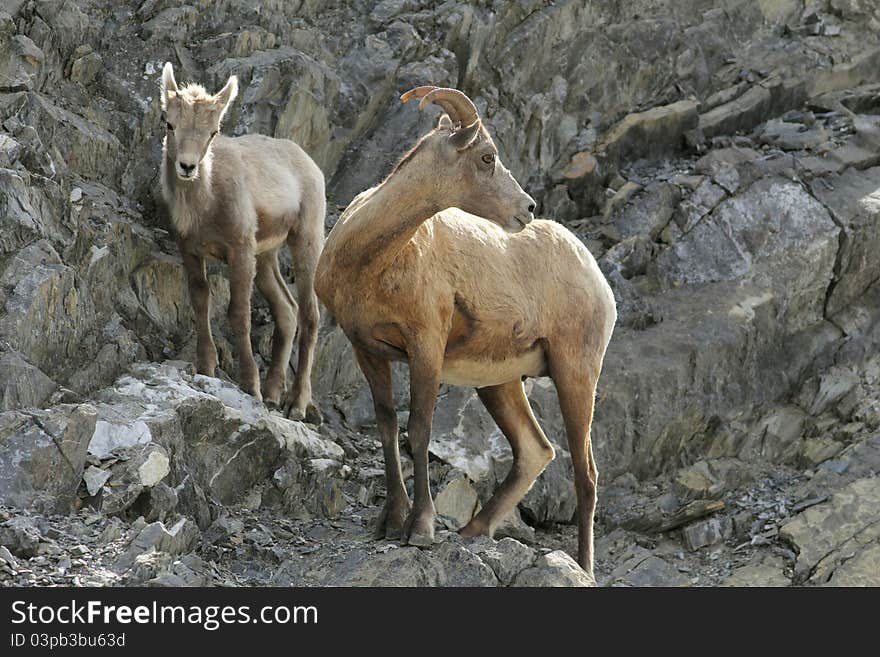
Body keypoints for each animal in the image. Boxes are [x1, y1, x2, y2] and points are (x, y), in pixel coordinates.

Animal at [160, 62, 324, 420]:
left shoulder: (240, 251)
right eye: (169, 123)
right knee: (287, 310)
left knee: (309, 314)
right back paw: (275, 394)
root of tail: (311, 165)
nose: (187, 167)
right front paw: (206, 366)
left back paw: (296, 404)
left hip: (305, 242)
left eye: (213, 132)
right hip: (266, 257)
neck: (206, 206)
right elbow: (201, 300)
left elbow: (238, 314)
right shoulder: (191, 251)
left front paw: (251, 386)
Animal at [318, 86, 620, 576]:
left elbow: (419, 430)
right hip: (499, 382)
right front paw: (390, 522)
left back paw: (583, 566)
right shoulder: (368, 350)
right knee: (536, 451)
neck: (369, 261)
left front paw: (420, 530)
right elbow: (387, 425)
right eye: (486, 157)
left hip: (575, 372)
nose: (527, 209)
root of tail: (595, 276)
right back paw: (472, 532)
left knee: (585, 472)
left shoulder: (425, 345)